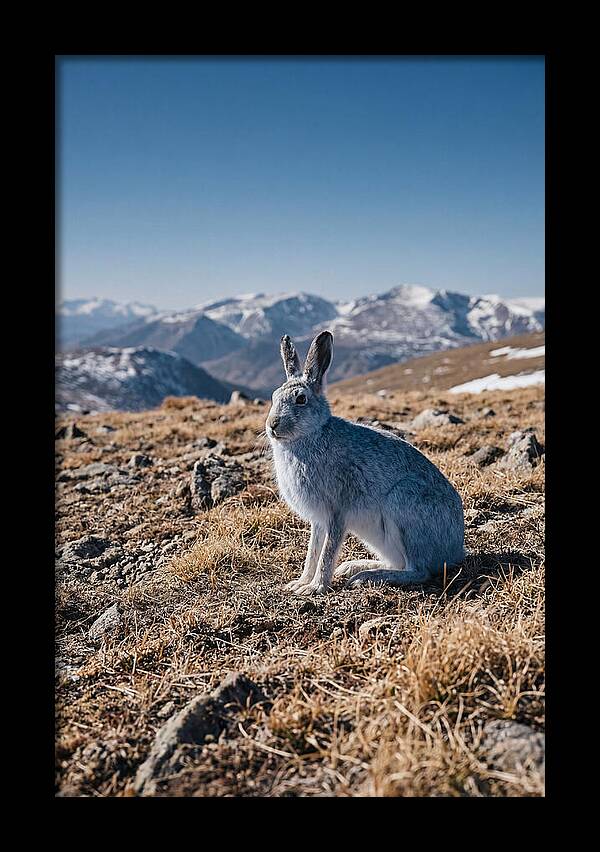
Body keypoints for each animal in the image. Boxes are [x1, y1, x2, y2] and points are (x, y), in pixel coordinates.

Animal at [266, 330, 465, 596]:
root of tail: (455, 551)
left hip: (404, 506)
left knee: (418, 570)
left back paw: (367, 576)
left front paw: (315, 587)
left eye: (300, 399)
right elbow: (313, 551)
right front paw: (300, 583)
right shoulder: (319, 520)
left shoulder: (337, 511)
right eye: (274, 396)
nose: (272, 425)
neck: (310, 435)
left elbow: (327, 552)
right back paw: (354, 566)